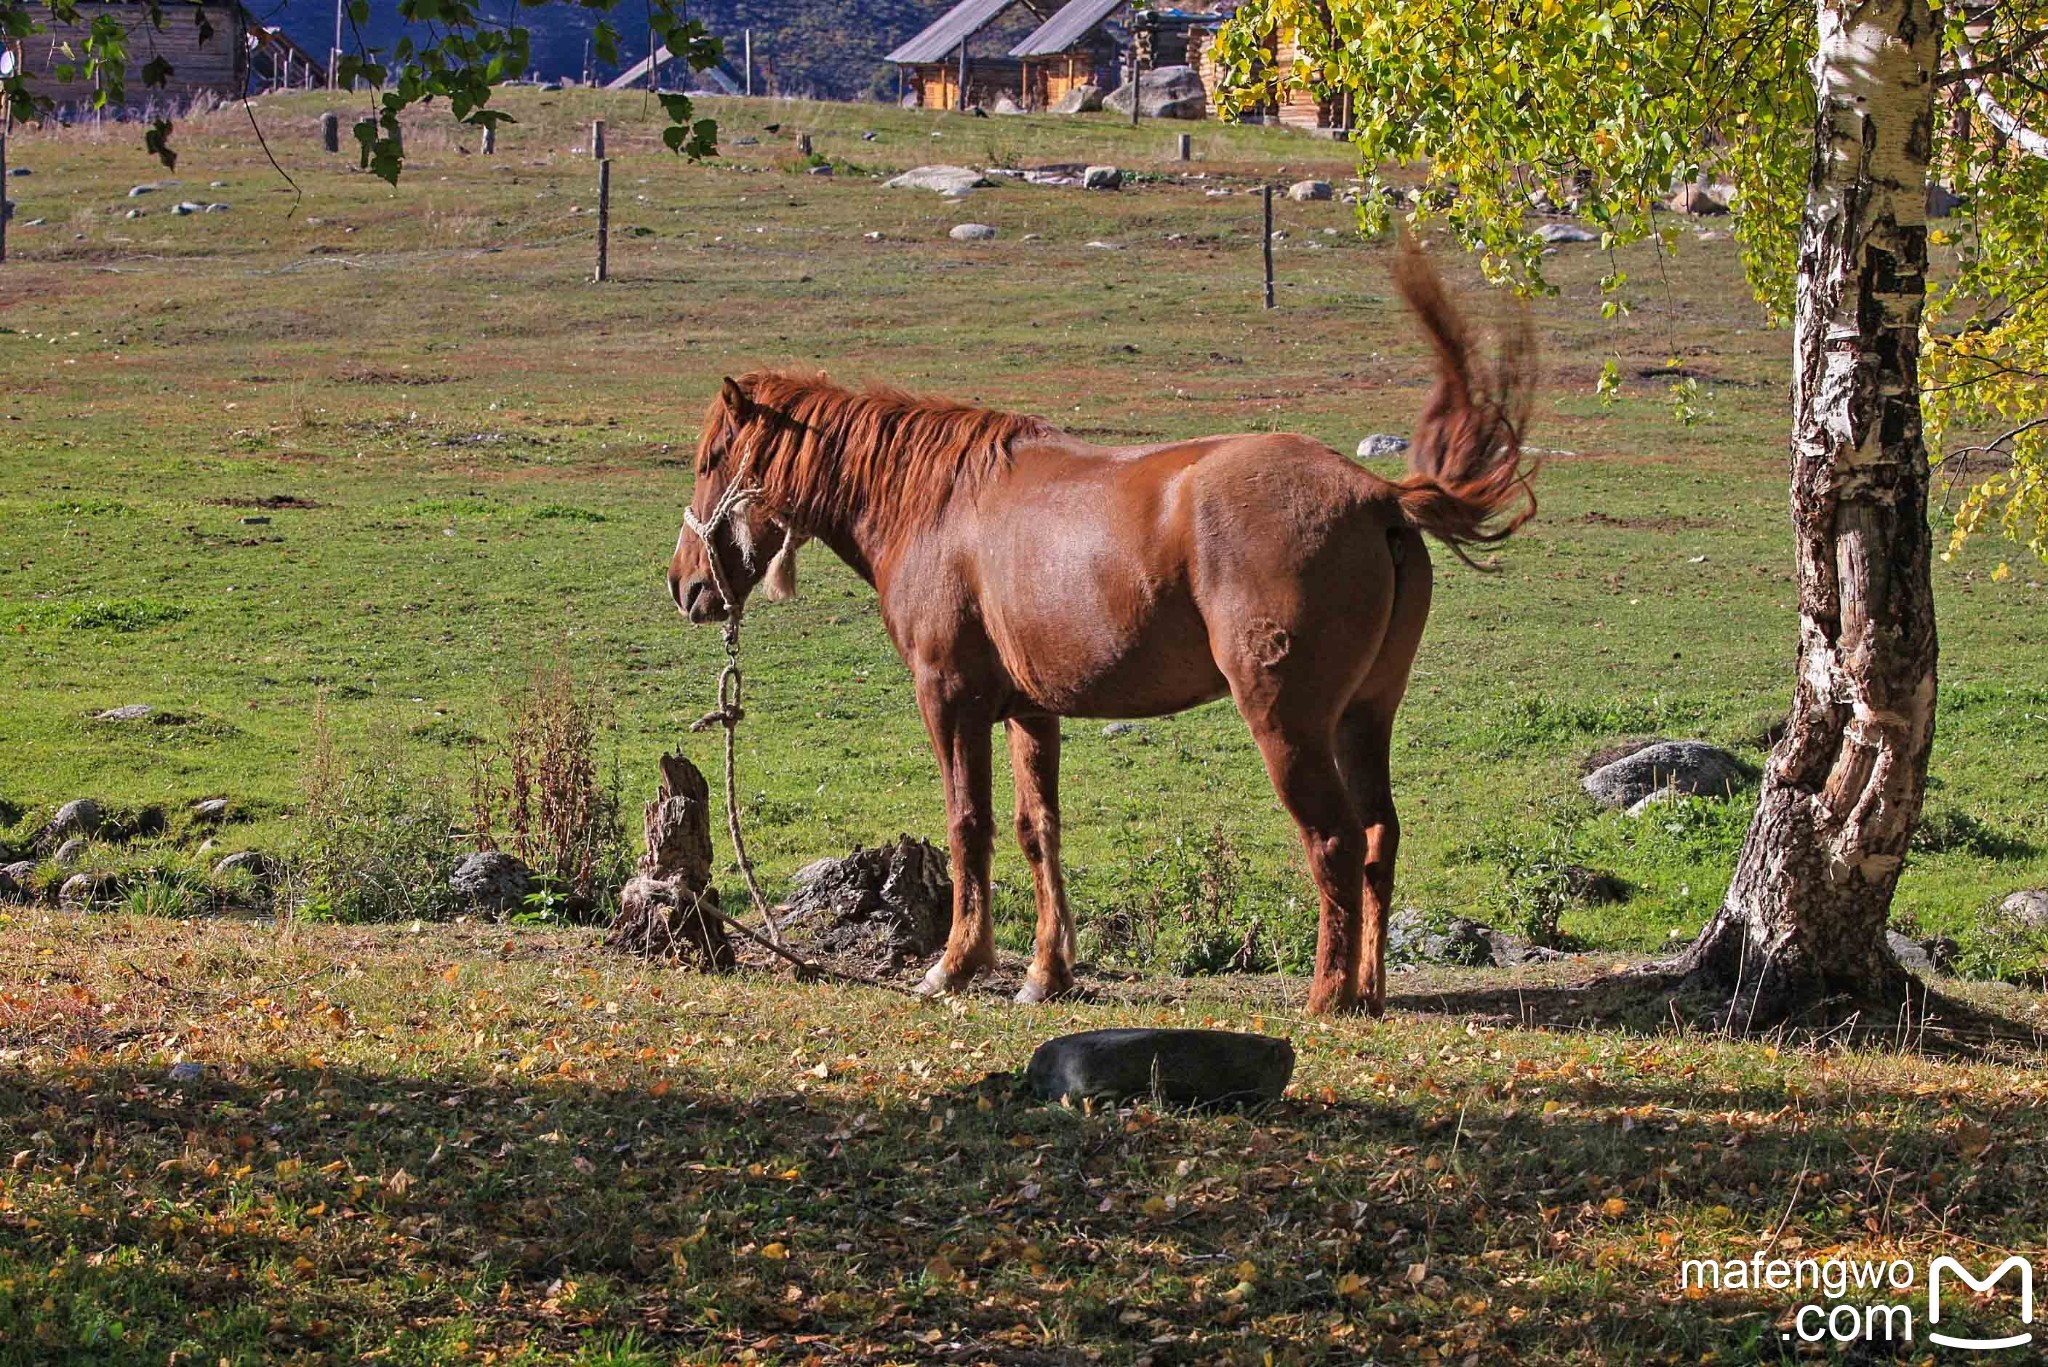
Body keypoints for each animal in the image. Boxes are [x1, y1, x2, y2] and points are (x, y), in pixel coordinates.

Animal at [671, 249, 1540, 1016]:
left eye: (712, 458)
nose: (686, 587)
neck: (938, 506)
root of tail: (1378, 495)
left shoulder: (948, 698)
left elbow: (968, 824)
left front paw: (956, 964)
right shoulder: (1029, 710)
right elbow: (1037, 830)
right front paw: (1045, 973)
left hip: (1290, 724)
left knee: (1332, 840)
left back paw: (1327, 996)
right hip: (1365, 718)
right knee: (1376, 836)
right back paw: (1368, 989)